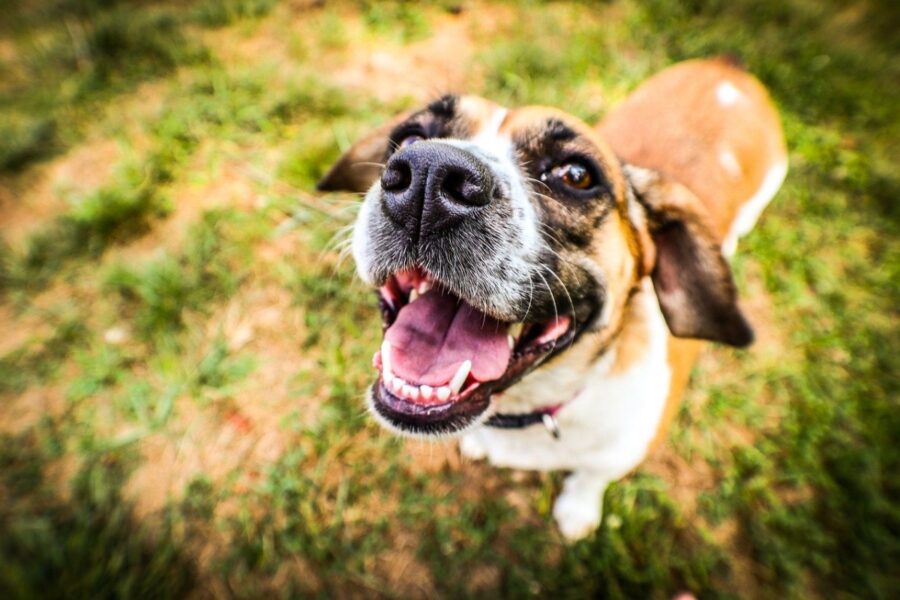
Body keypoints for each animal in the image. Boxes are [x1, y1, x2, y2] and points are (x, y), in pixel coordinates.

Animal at [320, 58, 784, 540]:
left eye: (576, 175)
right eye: (411, 137)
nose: (428, 173)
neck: (525, 407)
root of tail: (728, 66)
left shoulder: (619, 454)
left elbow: (591, 476)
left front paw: (578, 510)